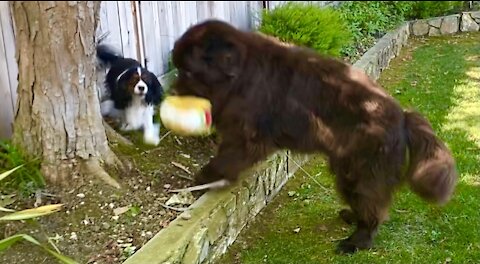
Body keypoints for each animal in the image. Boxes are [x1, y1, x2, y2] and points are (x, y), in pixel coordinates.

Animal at [172, 19, 458, 253]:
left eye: (188, 72)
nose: (172, 92)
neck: (242, 71)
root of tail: (403, 117)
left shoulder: (247, 136)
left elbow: (227, 157)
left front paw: (204, 178)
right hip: (347, 172)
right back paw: (352, 218)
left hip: (364, 175)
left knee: (373, 210)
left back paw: (357, 242)